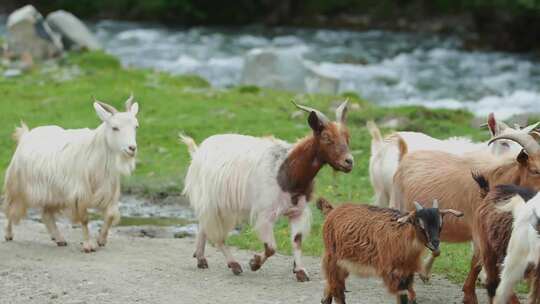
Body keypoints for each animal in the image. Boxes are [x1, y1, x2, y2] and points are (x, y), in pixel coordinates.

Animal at [2, 96, 139, 253]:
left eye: (136, 126)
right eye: (115, 127)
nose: (132, 148)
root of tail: (26, 135)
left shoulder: (109, 191)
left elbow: (110, 215)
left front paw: (101, 240)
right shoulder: (79, 192)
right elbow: (84, 219)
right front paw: (88, 245)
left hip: (53, 193)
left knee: (46, 215)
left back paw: (59, 238)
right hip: (16, 185)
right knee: (11, 209)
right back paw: (8, 234)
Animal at [318, 197, 462, 302]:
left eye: (440, 225)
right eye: (419, 224)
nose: (435, 244)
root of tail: (333, 210)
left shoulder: (407, 271)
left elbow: (411, 295)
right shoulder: (393, 272)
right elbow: (404, 295)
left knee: (332, 284)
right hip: (333, 257)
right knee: (337, 289)